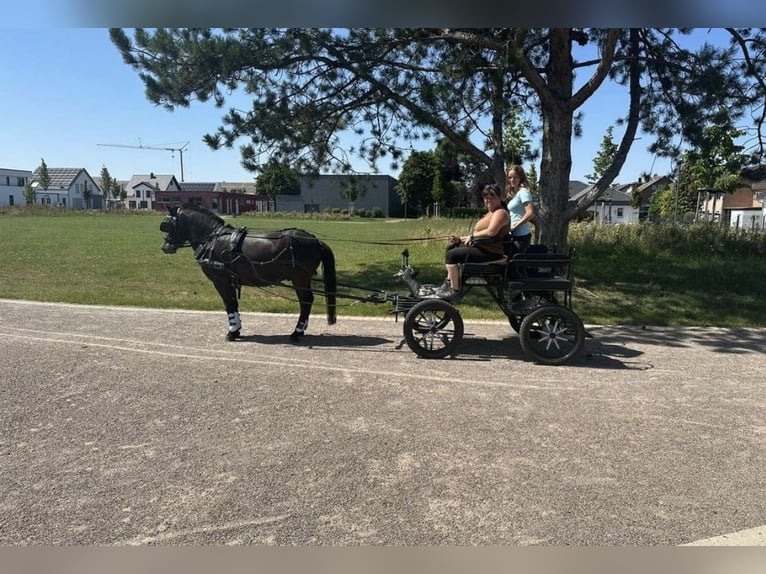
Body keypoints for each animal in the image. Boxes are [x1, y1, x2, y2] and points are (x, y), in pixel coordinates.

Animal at [160, 204, 338, 342]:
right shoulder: (231, 280)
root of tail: (316, 240)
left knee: (306, 301)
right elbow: (234, 303)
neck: (212, 239)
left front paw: (232, 332)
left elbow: (229, 303)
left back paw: (297, 332)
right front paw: (237, 328)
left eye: (168, 224)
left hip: (299, 279)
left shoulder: (220, 280)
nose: (165, 247)